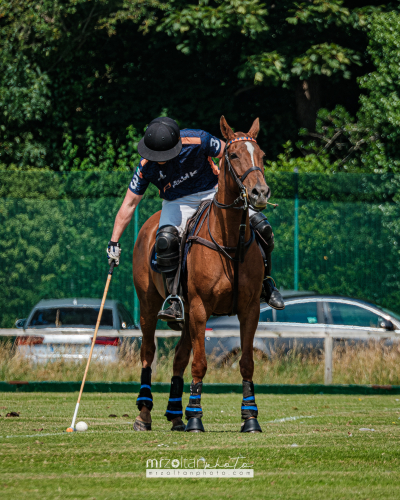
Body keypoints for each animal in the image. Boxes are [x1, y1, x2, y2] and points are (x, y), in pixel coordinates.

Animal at [133, 115, 270, 432]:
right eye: (234, 155)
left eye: (261, 155)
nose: (259, 193)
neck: (229, 239)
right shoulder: (199, 307)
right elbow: (200, 363)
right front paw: (196, 417)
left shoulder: (250, 308)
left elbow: (247, 362)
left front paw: (250, 417)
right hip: (149, 304)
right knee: (148, 353)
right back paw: (144, 415)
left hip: (184, 316)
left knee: (179, 357)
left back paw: (174, 415)